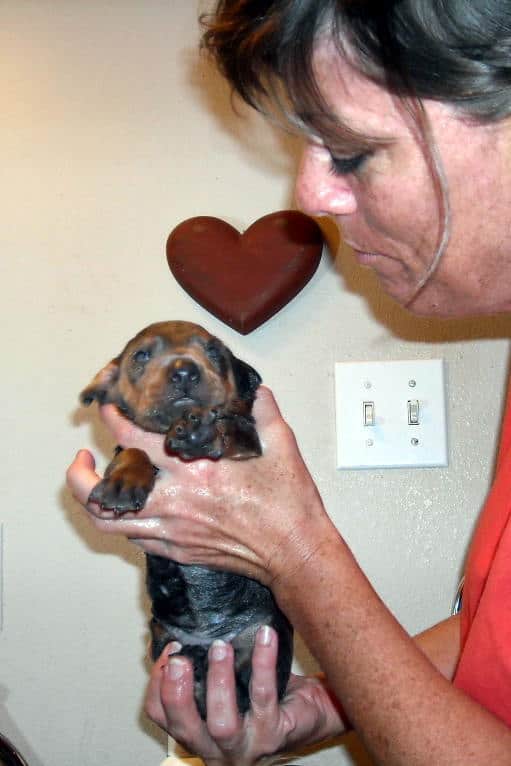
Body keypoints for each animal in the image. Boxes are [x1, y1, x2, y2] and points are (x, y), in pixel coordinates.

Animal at [82, 320, 294, 716]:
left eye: (213, 351)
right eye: (141, 355)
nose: (183, 370)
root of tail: (213, 639)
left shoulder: (250, 446)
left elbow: (234, 432)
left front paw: (204, 432)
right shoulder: (128, 446)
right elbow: (132, 451)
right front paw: (123, 482)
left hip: (270, 634)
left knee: (246, 691)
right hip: (161, 635)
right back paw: (194, 663)